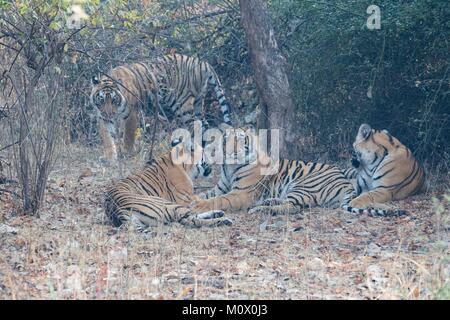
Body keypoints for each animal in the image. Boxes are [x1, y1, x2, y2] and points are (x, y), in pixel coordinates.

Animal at [90, 54, 234, 162]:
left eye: (114, 100)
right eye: (101, 100)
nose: (109, 114)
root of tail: (201, 62)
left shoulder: (131, 114)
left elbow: (128, 137)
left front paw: (126, 154)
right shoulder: (102, 118)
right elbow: (107, 138)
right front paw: (110, 158)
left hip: (183, 105)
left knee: (195, 126)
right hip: (197, 103)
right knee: (204, 125)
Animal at [104, 142, 234, 230]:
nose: (215, 162)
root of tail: (117, 210)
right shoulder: (187, 198)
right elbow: (206, 200)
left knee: (190, 217)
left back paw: (219, 213)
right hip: (168, 204)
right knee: (192, 220)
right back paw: (224, 220)